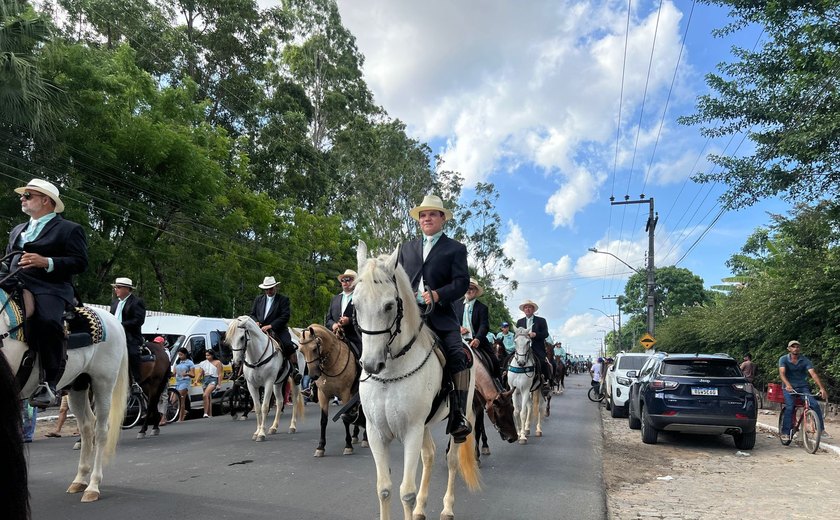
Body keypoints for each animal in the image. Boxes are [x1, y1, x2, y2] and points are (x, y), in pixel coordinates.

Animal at [0, 290, 128, 502]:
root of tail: (114, 321)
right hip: (77, 386)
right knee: (86, 427)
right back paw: (80, 479)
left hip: (103, 384)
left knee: (101, 430)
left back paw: (93, 486)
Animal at [296, 324, 364, 460]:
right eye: (301, 351)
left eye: (314, 349)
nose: (313, 375)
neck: (332, 364)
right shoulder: (323, 395)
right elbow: (323, 421)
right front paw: (320, 447)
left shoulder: (344, 394)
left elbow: (344, 418)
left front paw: (348, 446)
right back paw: (355, 435)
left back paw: (364, 439)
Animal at [352, 242, 480, 520]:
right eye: (355, 305)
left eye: (389, 306)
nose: (371, 365)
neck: (389, 375)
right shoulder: (376, 433)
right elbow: (384, 489)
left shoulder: (411, 431)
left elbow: (406, 493)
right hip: (424, 426)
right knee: (430, 454)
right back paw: (422, 508)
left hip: (458, 419)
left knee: (452, 460)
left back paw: (447, 509)